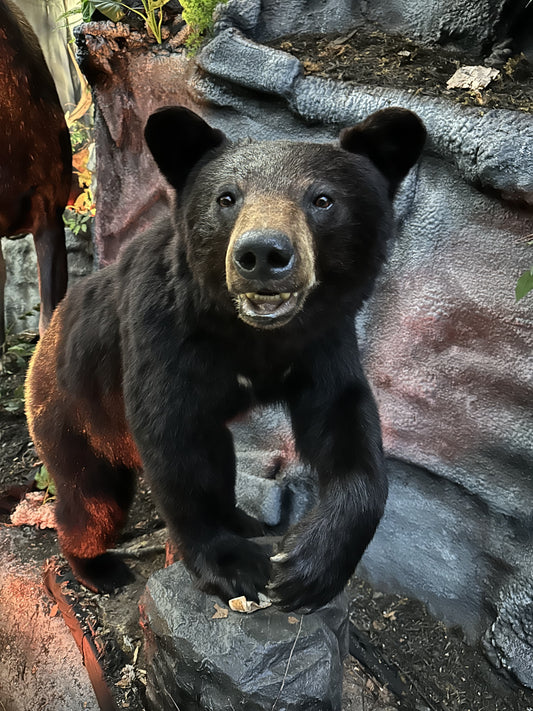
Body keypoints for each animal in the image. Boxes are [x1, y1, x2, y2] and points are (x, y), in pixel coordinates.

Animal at [25, 105, 426, 611]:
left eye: (322, 199)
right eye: (227, 198)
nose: (263, 254)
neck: (251, 334)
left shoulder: (324, 339)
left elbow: (342, 418)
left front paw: (310, 566)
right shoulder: (162, 329)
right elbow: (173, 437)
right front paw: (233, 567)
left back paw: (245, 520)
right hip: (74, 414)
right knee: (92, 500)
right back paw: (98, 567)